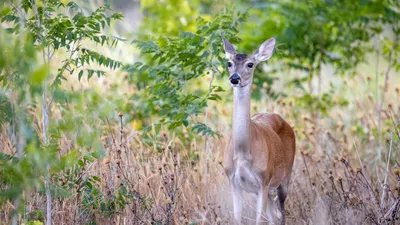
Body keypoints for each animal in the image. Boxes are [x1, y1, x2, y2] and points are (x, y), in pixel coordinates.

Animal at [222, 37, 296, 225]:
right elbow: (237, 218)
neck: (243, 152)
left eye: (250, 64)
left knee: (281, 212)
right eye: (229, 63)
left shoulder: (263, 179)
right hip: (265, 190)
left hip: (284, 175)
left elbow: (259, 220)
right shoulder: (233, 180)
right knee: (273, 216)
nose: (234, 78)